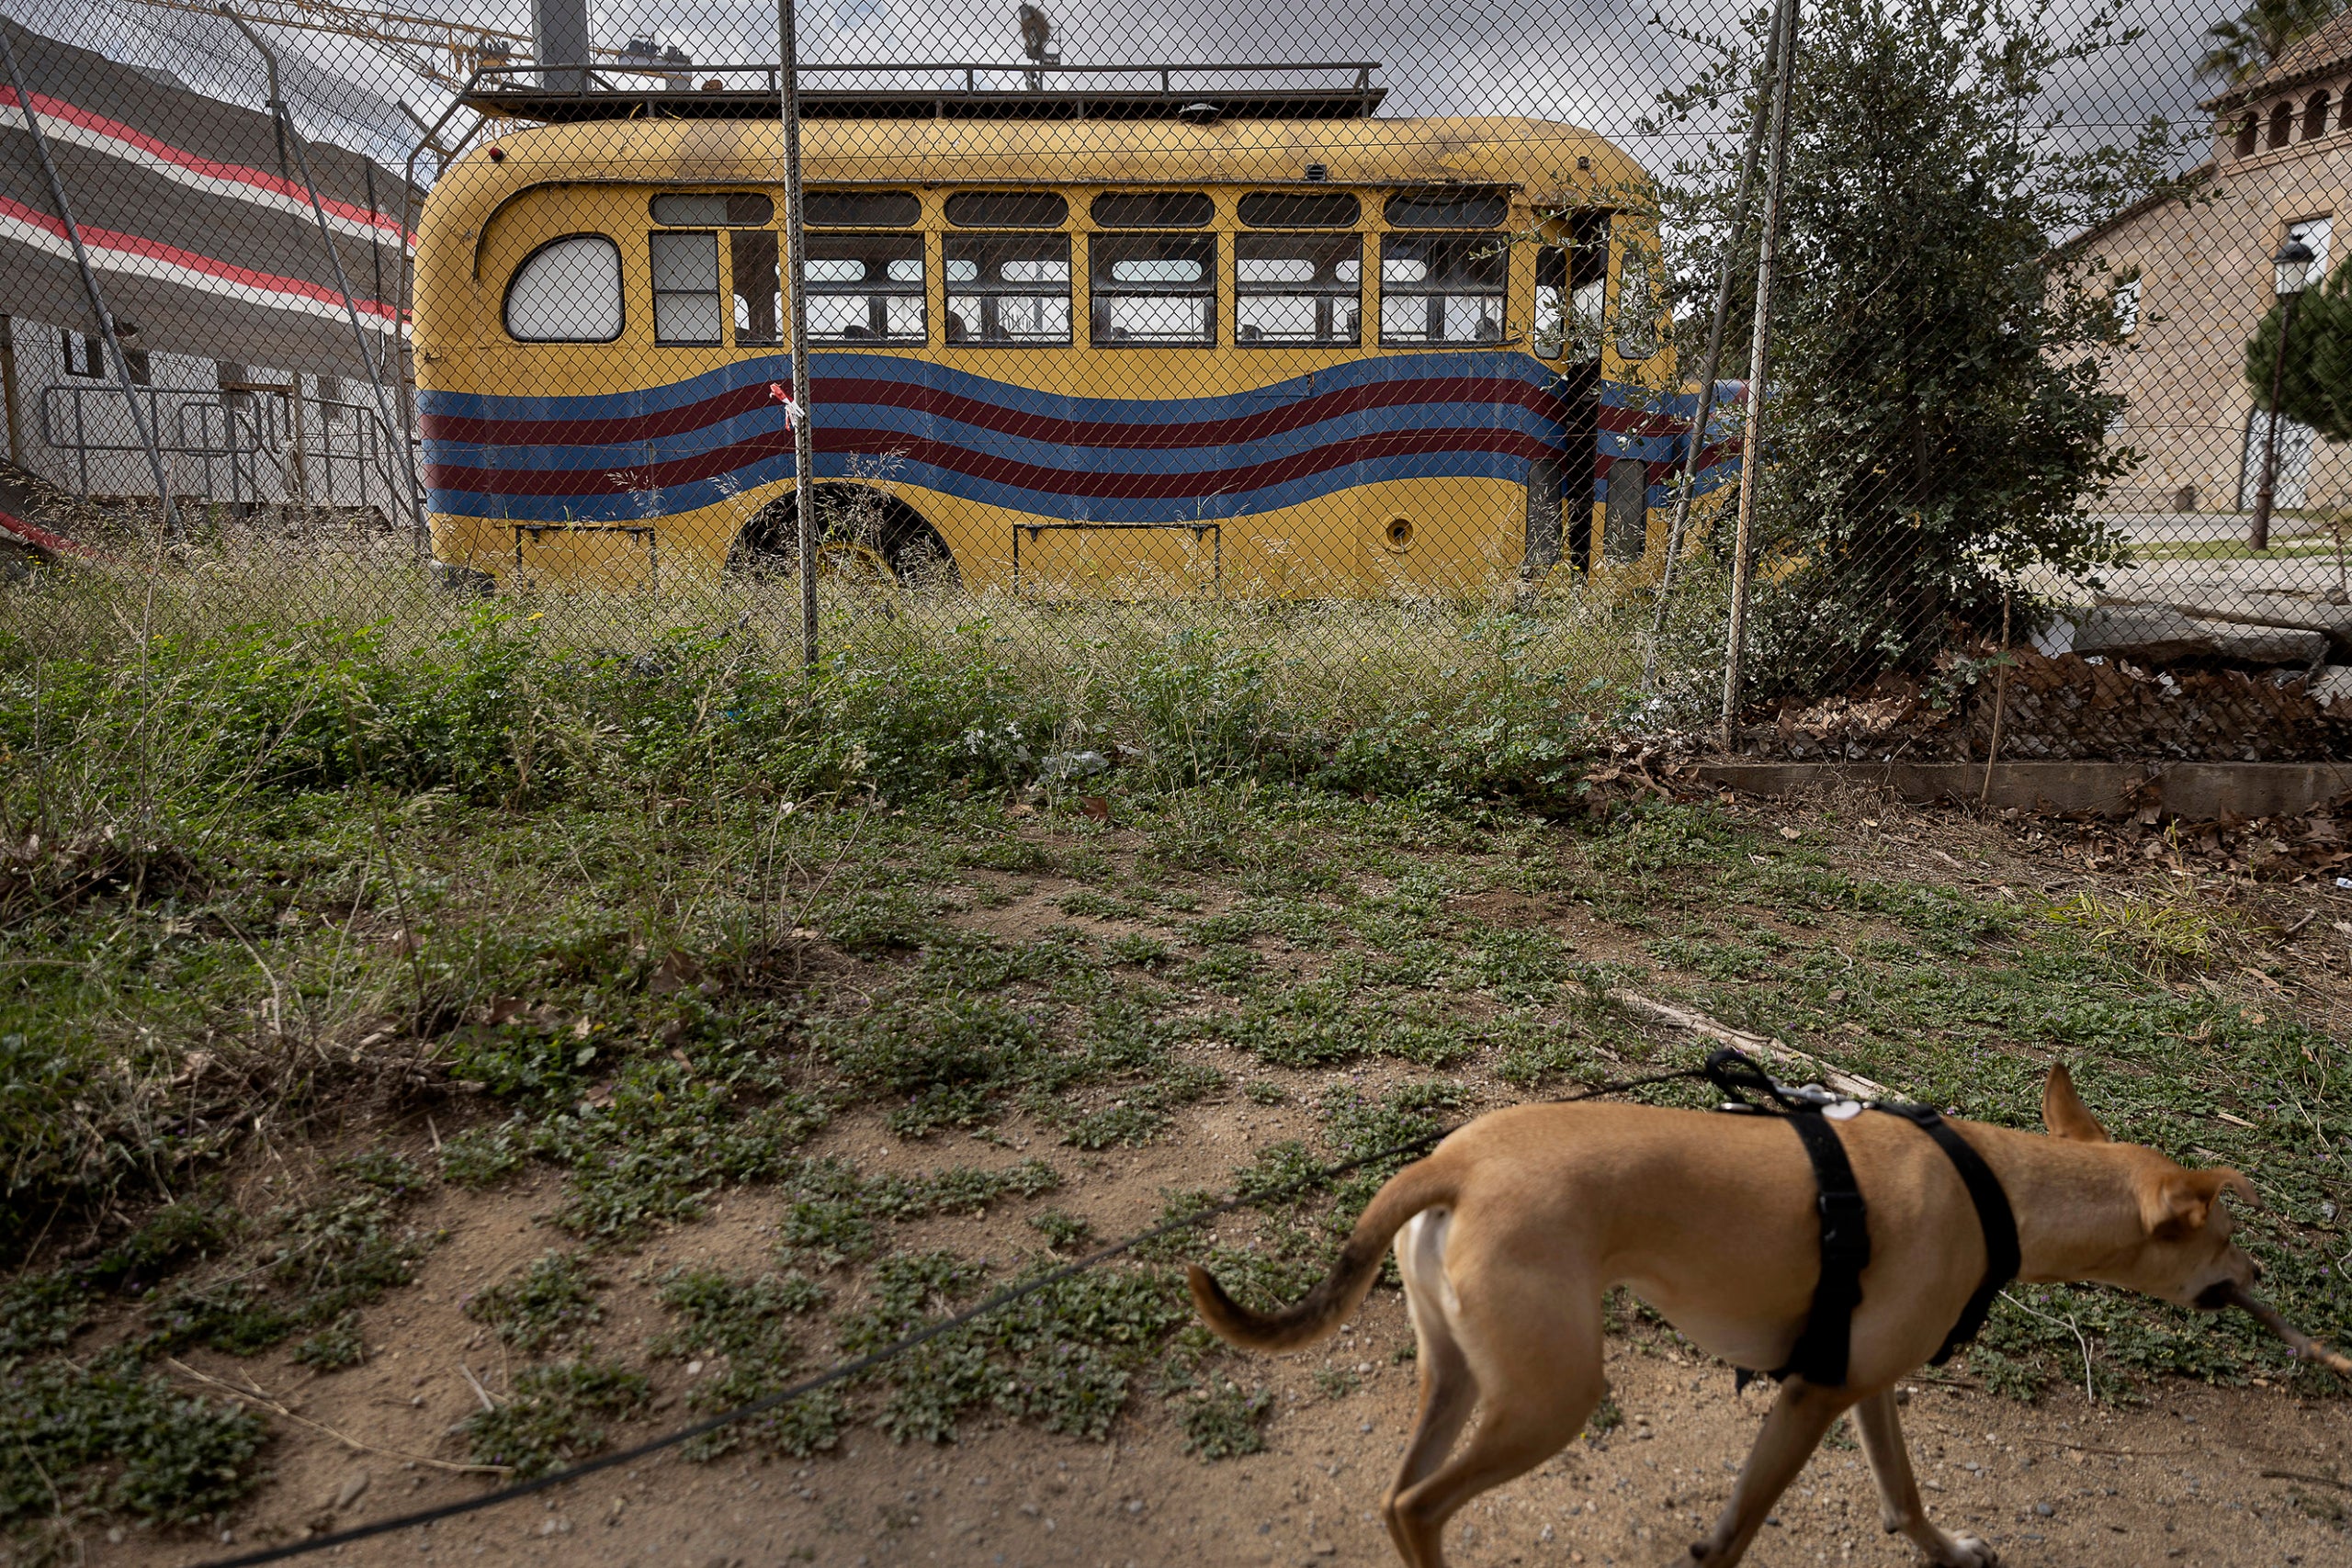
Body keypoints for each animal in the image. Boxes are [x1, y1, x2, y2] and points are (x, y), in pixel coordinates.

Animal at [1185, 1066, 2304, 1568]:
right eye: (2223, 1231)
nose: (2255, 1270)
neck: (1994, 1184)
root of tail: (1451, 1160)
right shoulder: (1808, 1397)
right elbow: (1729, 1539)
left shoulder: (1863, 1386)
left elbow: (1904, 1496)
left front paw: (1946, 1551)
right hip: (1552, 1400)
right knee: (1422, 1505)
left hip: (1460, 1376)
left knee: (1397, 1498)